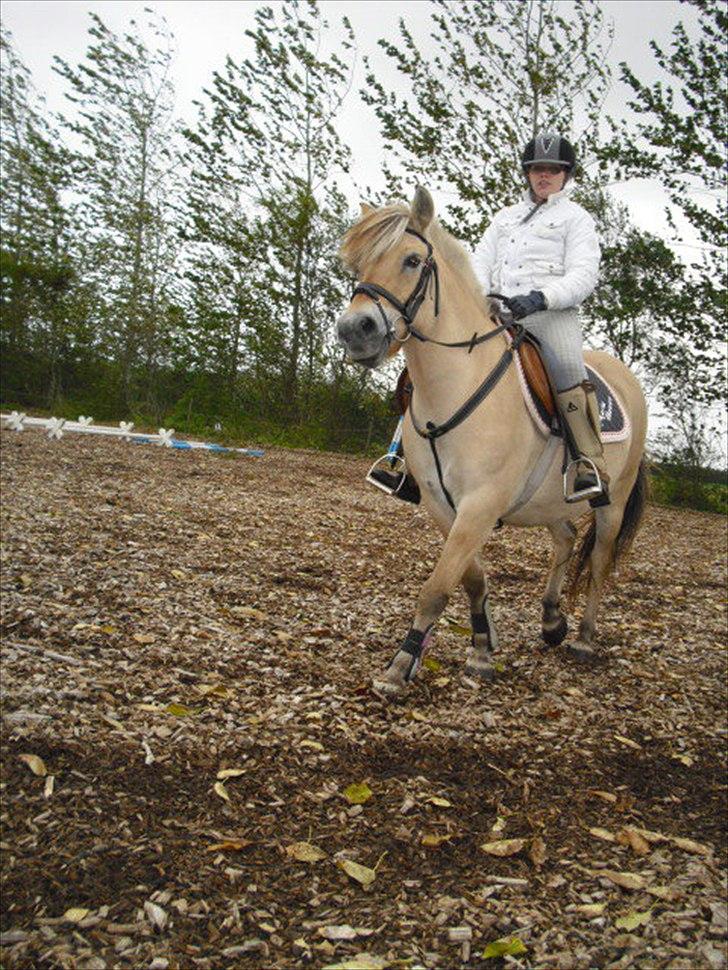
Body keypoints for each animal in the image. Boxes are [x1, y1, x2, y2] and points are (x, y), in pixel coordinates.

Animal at [336, 187, 648, 694]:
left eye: (411, 260)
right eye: (359, 265)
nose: (353, 332)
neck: (459, 381)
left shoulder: (480, 503)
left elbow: (437, 587)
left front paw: (399, 668)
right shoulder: (443, 505)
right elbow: (471, 579)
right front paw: (481, 650)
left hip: (612, 502)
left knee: (600, 560)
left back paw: (583, 639)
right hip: (547, 501)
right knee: (564, 539)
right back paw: (552, 622)